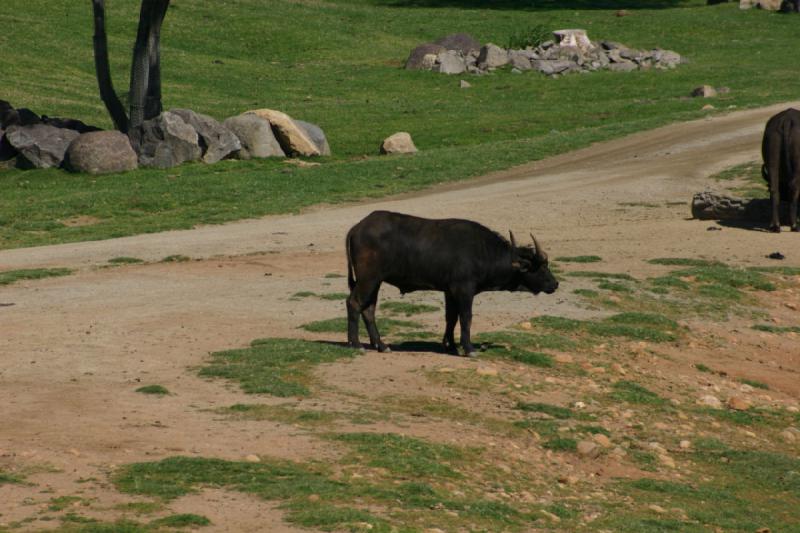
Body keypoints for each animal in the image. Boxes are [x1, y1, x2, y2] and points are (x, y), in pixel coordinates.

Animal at [346, 210, 560, 356]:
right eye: (540, 267)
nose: (555, 284)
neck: (483, 252)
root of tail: (357, 228)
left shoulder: (450, 291)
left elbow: (451, 318)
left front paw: (450, 345)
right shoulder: (464, 290)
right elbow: (466, 317)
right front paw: (468, 347)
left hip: (375, 281)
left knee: (369, 309)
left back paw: (381, 345)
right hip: (368, 278)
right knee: (354, 303)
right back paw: (356, 344)